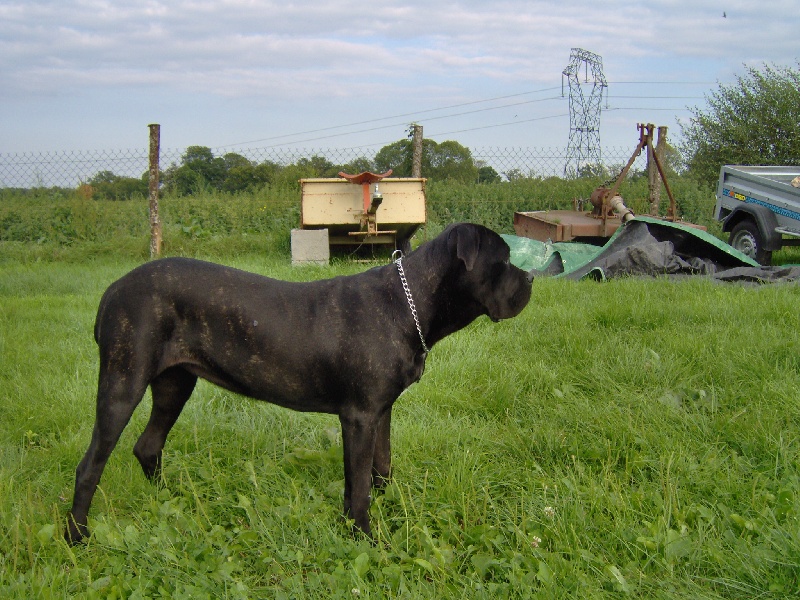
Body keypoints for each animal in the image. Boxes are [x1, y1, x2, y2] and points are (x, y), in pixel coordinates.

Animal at [65, 225, 532, 544]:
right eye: (505, 261)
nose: (530, 280)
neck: (408, 303)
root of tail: (112, 290)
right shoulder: (359, 416)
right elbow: (359, 484)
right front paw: (364, 537)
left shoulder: (381, 411)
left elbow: (380, 468)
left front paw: (384, 509)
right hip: (123, 382)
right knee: (90, 465)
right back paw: (77, 537)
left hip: (174, 384)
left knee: (149, 445)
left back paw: (172, 499)